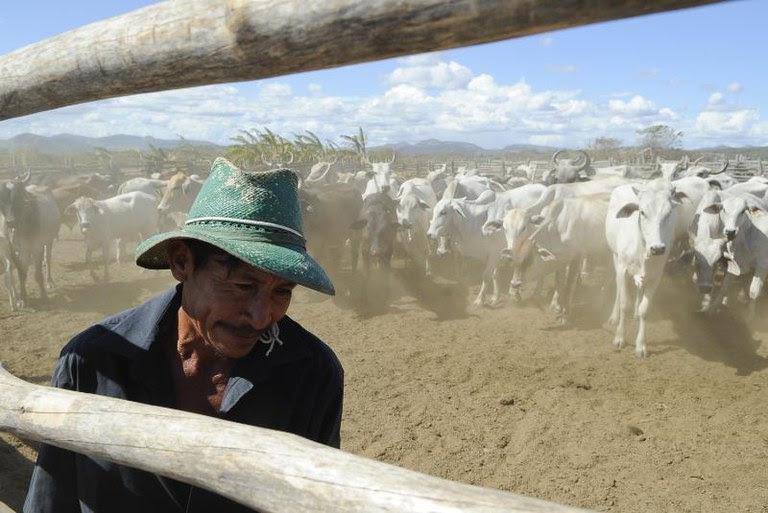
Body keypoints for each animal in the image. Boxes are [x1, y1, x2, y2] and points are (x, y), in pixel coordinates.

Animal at [608, 182, 688, 358]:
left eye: (668, 213)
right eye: (642, 212)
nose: (657, 248)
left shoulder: (655, 276)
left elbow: (645, 309)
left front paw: (641, 346)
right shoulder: (623, 269)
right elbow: (624, 303)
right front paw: (619, 338)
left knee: (639, 291)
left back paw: (635, 314)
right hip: (615, 257)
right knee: (617, 287)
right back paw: (614, 316)